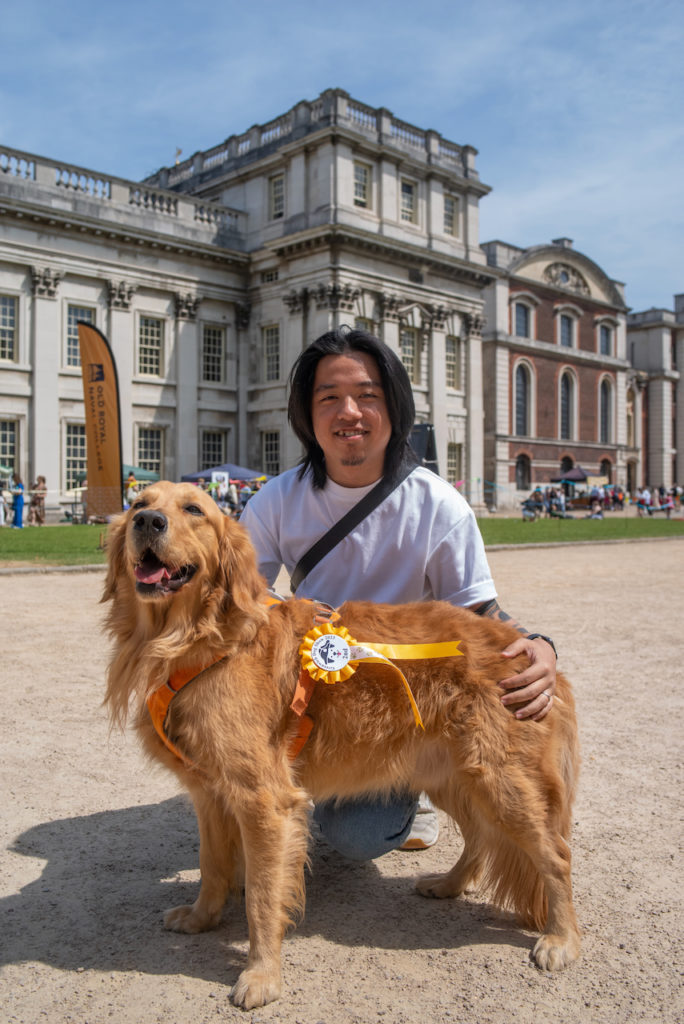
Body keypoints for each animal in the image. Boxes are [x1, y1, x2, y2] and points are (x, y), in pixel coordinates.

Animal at [104, 481, 581, 1007]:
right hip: (454, 774)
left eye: (194, 509)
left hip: (501, 781)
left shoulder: (265, 800)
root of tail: (530, 653)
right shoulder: (209, 792)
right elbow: (212, 864)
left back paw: (561, 939)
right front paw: (202, 917)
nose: (148, 522)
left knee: (556, 856)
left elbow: (263, 898)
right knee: (480, 837)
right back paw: (449, 884)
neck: (198, 639)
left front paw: (261, 974)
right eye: (138, 503)